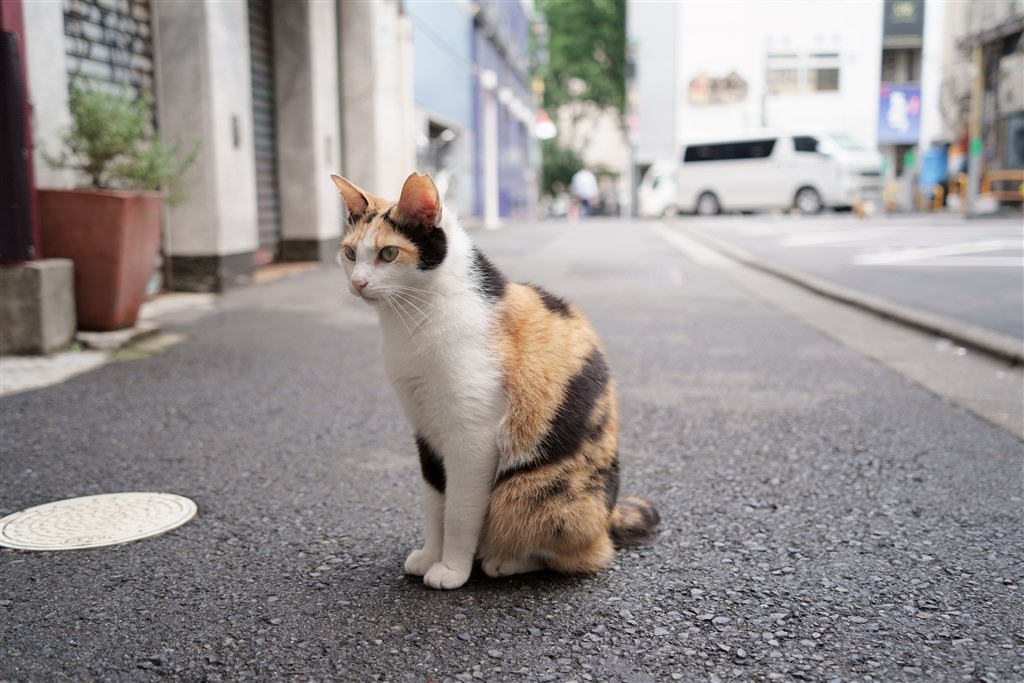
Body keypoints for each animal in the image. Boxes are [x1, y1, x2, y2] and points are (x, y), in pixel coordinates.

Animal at [331, 172, 659, 593]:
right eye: (350, 253)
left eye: (388, 254)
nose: (358, 283)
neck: (412, 320)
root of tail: (610, 514)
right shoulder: (425, 431)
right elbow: (434, 502)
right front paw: (431, 555)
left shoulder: (472, 437)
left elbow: (458, 512)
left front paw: (452, 569)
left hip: (531, 495)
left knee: (584, 554)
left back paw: (503, 561)